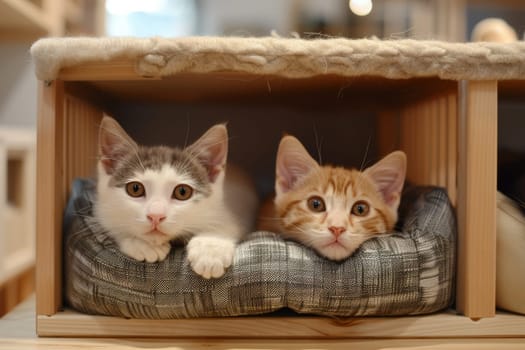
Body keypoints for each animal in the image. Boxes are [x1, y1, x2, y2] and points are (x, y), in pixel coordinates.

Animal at [94, 117, 260, 278]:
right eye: (135, 189)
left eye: (182, 192)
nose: (155, 216)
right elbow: (109, 223)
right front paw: (142, 243)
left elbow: (228, 224)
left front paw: (210, 250)